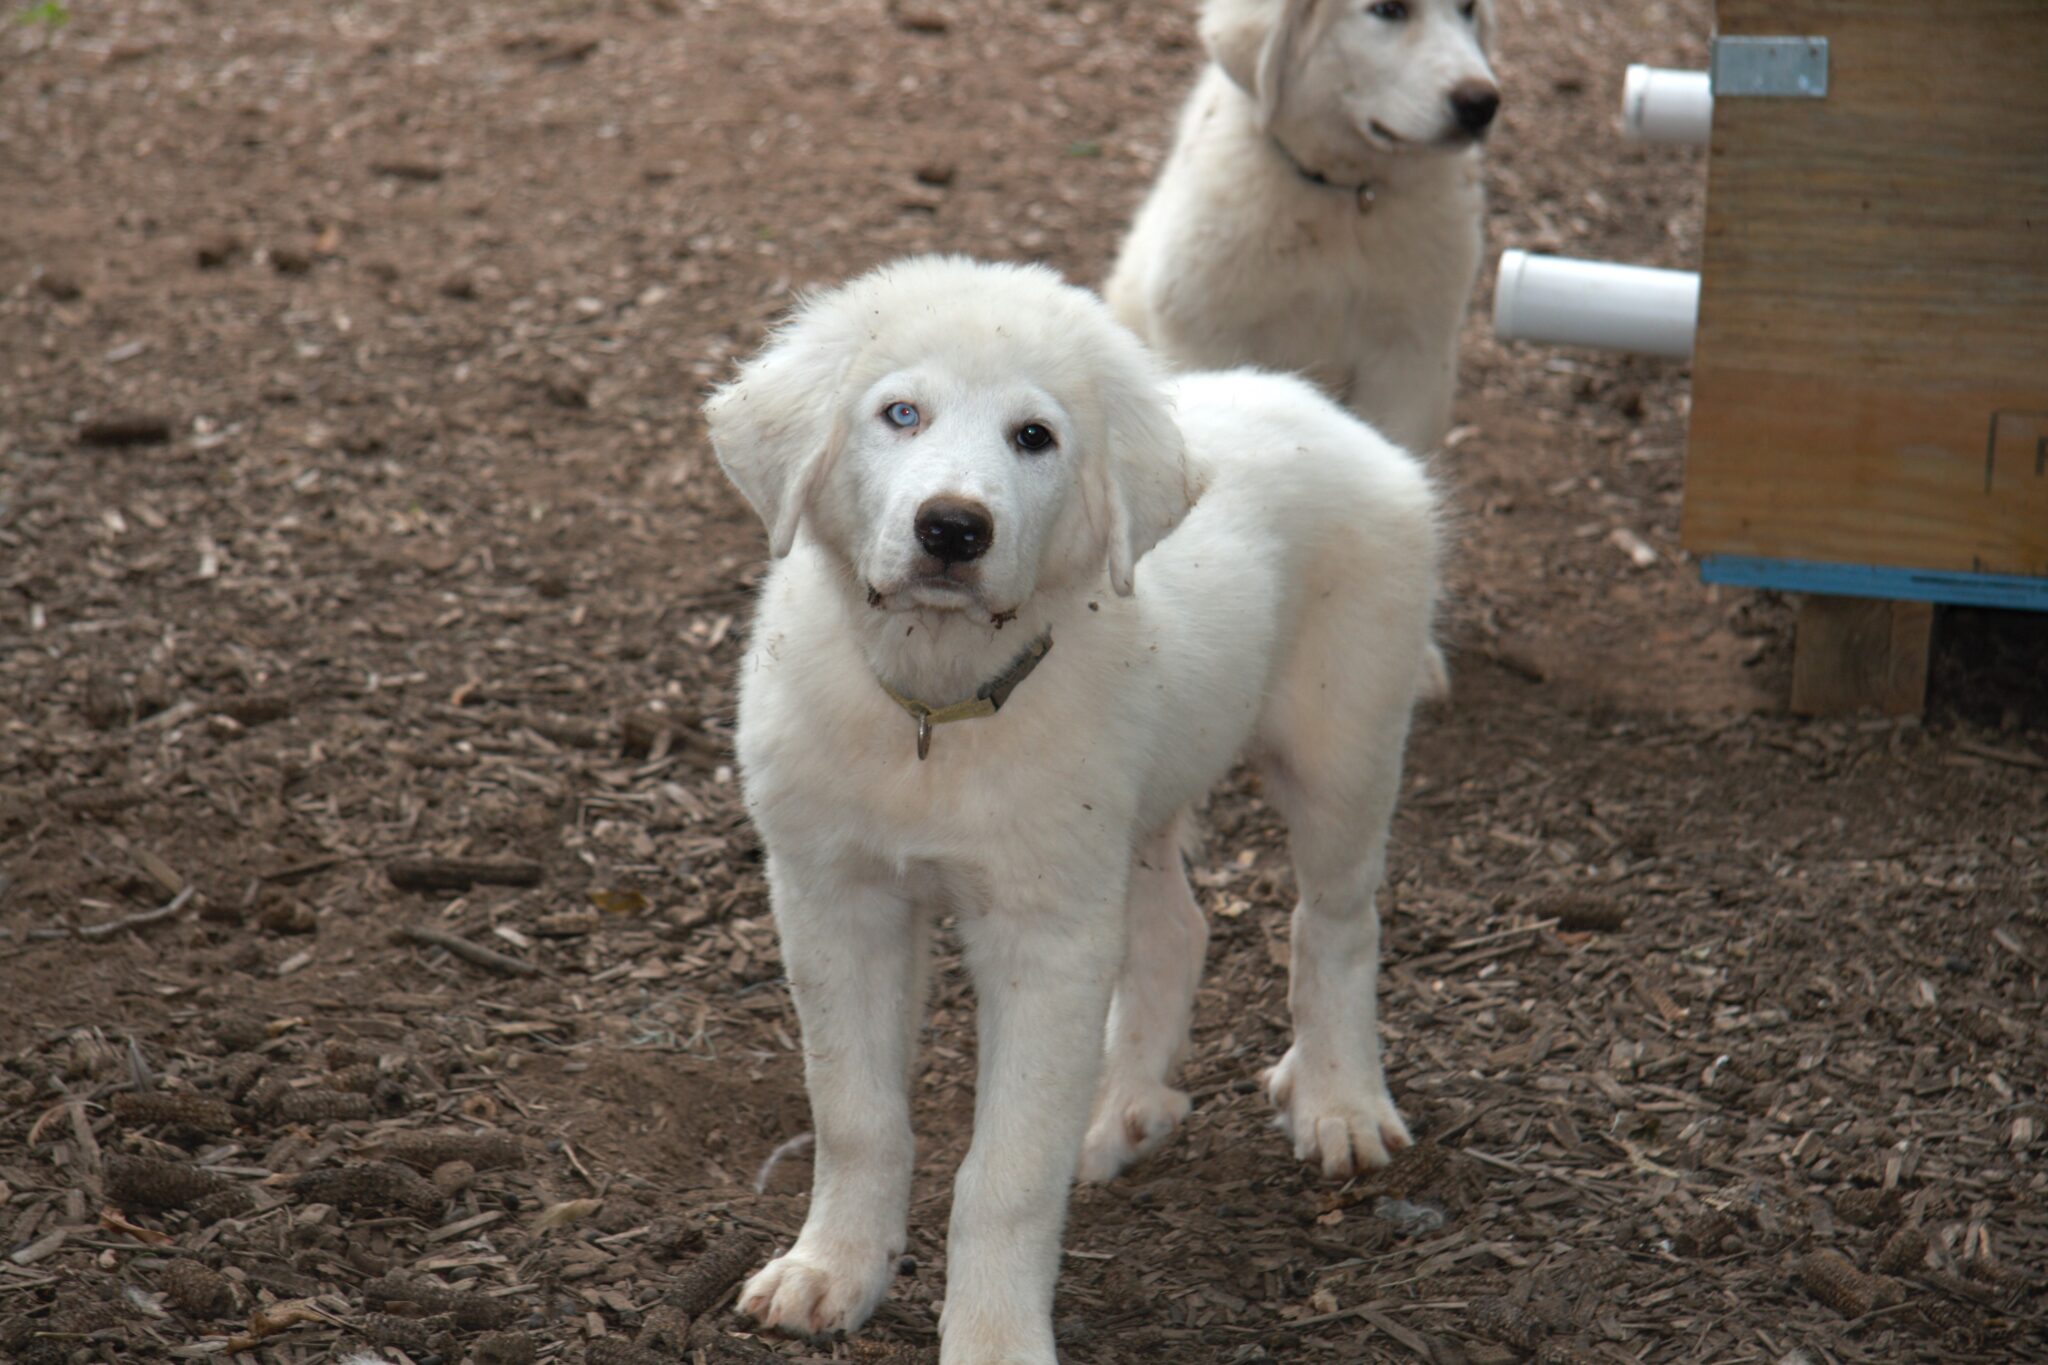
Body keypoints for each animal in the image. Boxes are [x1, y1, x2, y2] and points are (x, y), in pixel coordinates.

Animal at [704, 258, 1441, 1365]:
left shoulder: (1044, 936)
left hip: (1339, 744)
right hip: (1130, 809)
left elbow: (1006, 1172)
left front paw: (993, 1341)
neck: (936, 711)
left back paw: (1339, 1099)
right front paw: (830, 1270)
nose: (952, 528)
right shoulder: (832, 896)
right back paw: (1118, 1110)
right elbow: (854, 1114)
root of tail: (1322, 407)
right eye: (899, 413)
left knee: (1336, 921)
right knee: (1177, 928)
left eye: (1034, 437)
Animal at [1114, 0, 1499, 458]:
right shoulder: (1205, 332)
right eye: (1388, 10)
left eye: (1468, 9)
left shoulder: (1412, 353)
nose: (1482, 104)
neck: (1347, 197)